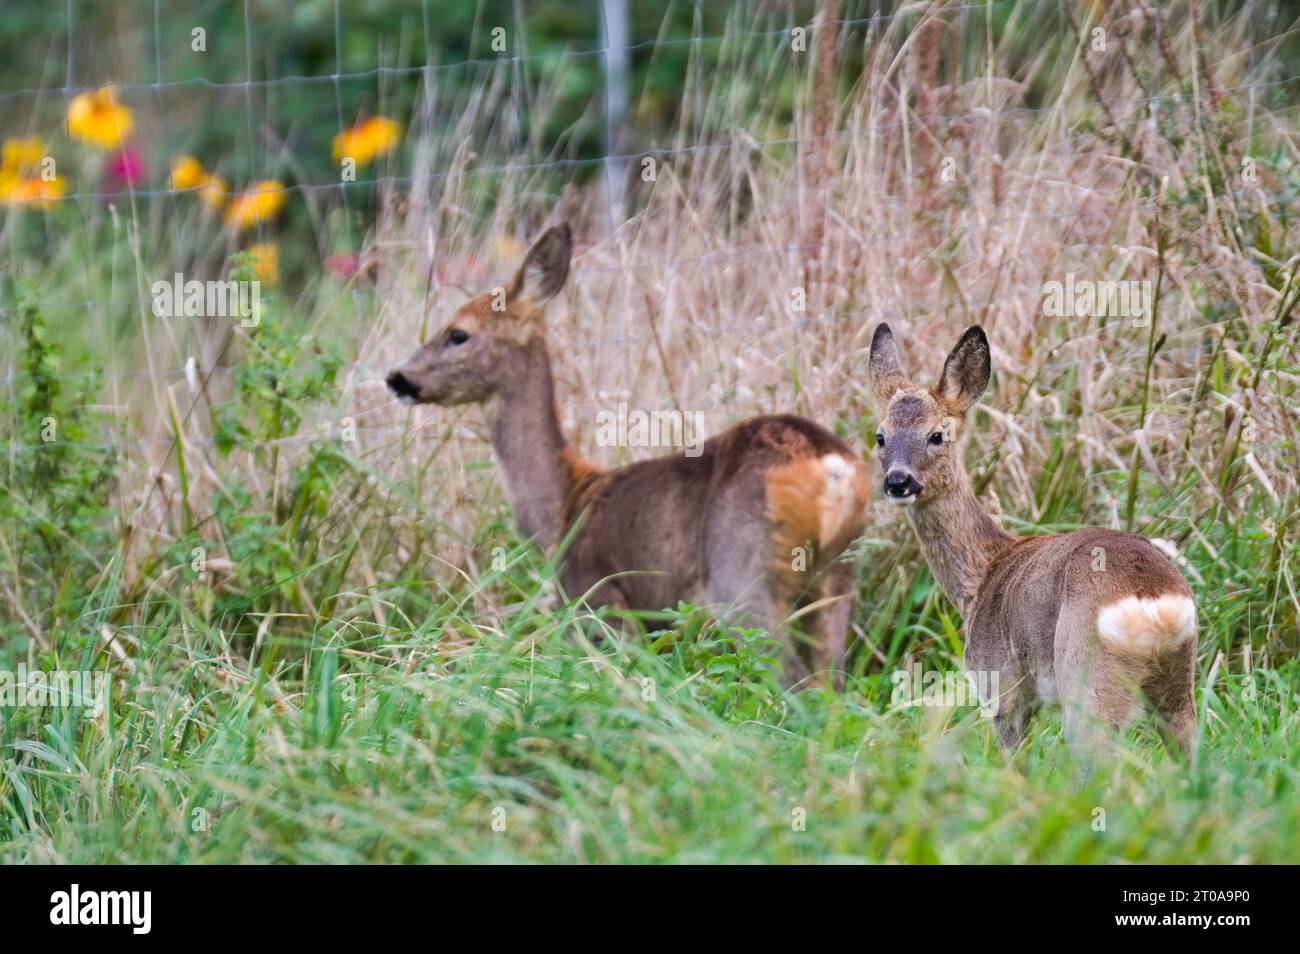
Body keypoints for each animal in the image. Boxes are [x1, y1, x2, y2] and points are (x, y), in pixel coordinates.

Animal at [384, 223, 873, 686]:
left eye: (458, 334)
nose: (397, 377)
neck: (562, 508)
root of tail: (831, 466)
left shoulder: (598, 601)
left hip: (741, 576)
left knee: (791, 679)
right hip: (837, 577)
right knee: (831, 684)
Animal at [868, 324, 1190, 759]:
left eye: (937, 435)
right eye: (880, 436)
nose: (898, 481)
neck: (981, 576)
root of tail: (1156, 605)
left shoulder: (1001, 684)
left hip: (1087, 684)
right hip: (1178, 691)